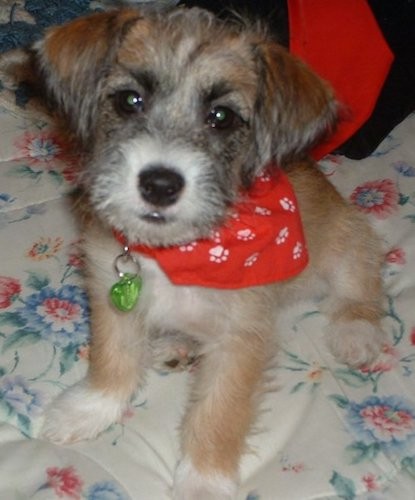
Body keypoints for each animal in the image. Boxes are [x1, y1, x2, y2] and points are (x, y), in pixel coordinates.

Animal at [32, 5, 386, 498]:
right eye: (129, 100)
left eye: (221, 116)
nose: (159, 184)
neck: (181, 252)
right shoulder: (111, 292)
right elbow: (112, 361)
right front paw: (88, 409)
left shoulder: (240, 341)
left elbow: (219, 413)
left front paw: (203, 479)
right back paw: (175, 343)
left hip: (346, 238)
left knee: (362, 281)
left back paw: (357, 332)